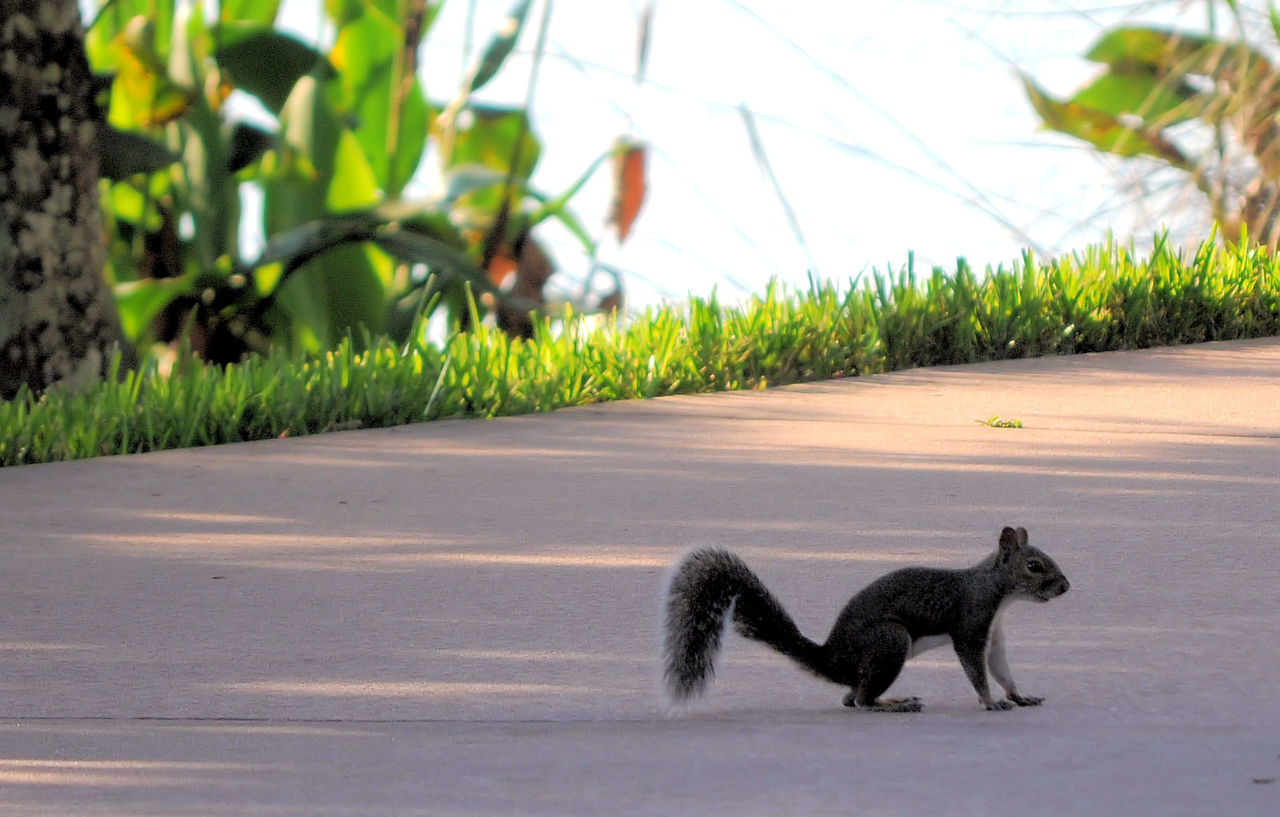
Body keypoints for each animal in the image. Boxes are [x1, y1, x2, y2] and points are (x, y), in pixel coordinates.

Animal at [660, 527, 1070, 711]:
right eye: (1034, 566)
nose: (1066, 587)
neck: (996, 590)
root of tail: (832, 659)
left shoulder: (994, 632)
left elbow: (1000, 667)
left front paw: (1019, 695)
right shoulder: (971, 621)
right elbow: (976, 668)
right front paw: (989, 701)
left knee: (850, 697)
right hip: (890, 640)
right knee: (859, 701)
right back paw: (893, 705)